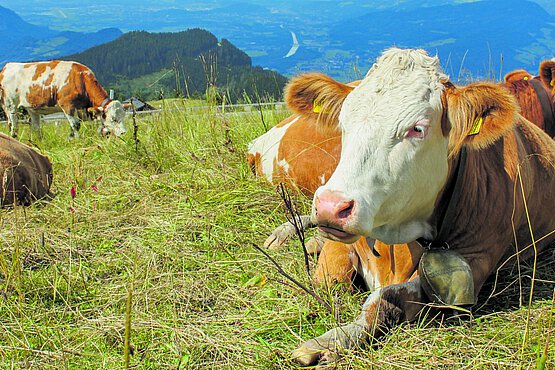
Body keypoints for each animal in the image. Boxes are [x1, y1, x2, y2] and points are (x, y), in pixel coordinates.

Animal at [282, 48, 555, 364]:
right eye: (343, 123)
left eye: (417, 129)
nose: (331, 206)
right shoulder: (341, 241)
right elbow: (329, 279)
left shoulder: (477, 260)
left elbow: (386, 298)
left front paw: (332, 340)